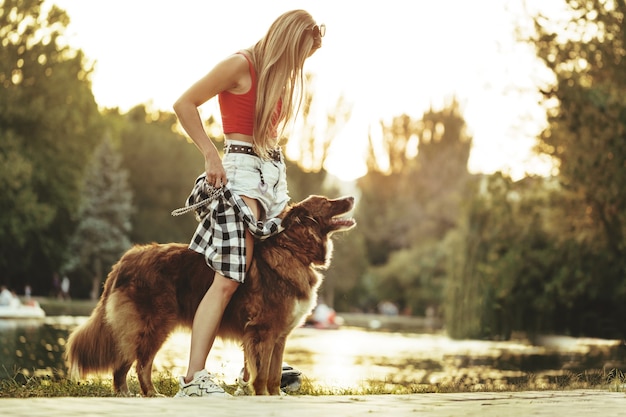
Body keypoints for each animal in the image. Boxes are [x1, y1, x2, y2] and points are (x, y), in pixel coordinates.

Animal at [66, 193, 356, 394]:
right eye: (327, 202)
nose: (352, 198)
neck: (293, 251)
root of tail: (127, 258)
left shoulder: (279, 336)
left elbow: (274, 376)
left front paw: (275, 396)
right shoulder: (263, 332)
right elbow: (262, 375)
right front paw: (262, 397)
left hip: (136, 328)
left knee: (122, 365)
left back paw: (127, 395)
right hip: (155, 324)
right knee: (141, 365)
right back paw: (151, 394)